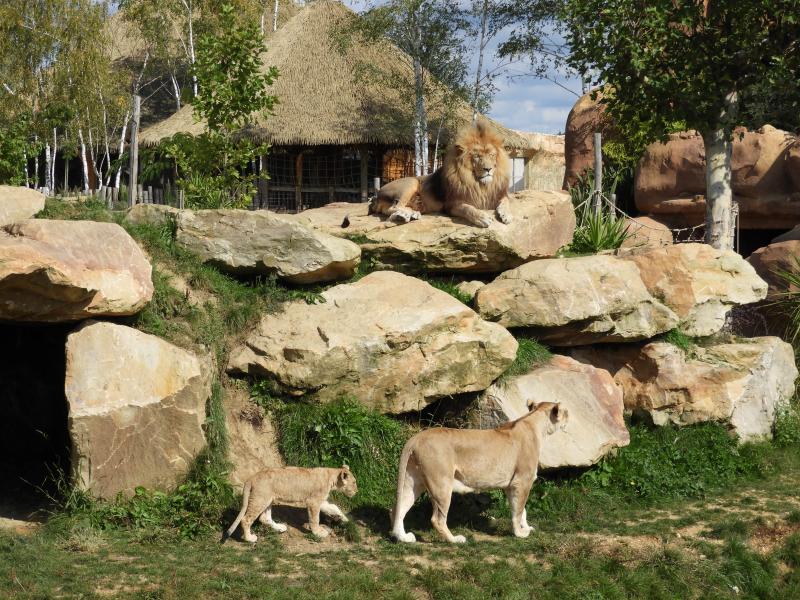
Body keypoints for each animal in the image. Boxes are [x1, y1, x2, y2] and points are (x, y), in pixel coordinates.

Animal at [222, 465, 357, 543]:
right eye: (354, 482)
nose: (357, 491)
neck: (331, 477)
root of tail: (251, 478)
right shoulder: (313, 501)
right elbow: (315, 519)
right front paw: (318, 532)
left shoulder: (321, 500)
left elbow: (334, 507)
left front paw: (346, 520)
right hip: (260, 499)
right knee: (246, 519)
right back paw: (249, 538)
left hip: (268, 499)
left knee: (264, 518)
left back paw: (280, 527)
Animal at [370, 118, 513, 228]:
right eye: (477, 156)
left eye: (491, 155)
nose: (488, 169)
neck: (479, 184)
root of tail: (376, 195)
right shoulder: (451, 204)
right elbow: (467, 208)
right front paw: (482, 217)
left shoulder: (497, 195)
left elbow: (507, 202)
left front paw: (506, 215)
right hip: (410, 182)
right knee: (394, 207)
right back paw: (406, 214)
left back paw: (411, 214)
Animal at [390, 402, 567, 543]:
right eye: (565, 411)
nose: (569, 415)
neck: (534, 424)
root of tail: (416, 438)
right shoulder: (523, 480)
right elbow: (518, 510)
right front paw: (520, 533)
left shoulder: (512, 484)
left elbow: (521, 509)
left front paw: (526, 527)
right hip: (441, 483)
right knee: (437, 519)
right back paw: (455, 540)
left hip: (414, 481)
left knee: (398, 508)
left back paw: (404, 538)